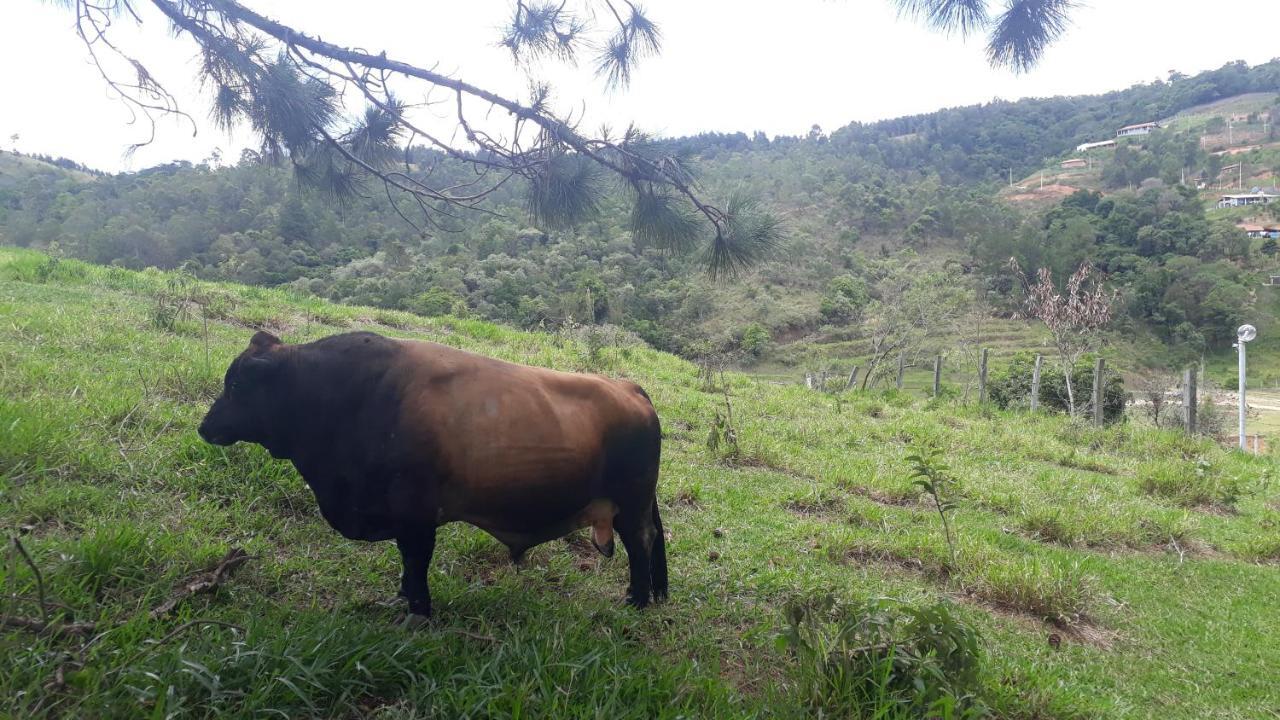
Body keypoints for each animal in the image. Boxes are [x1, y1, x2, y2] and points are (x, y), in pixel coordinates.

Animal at [197, 330, 670, 617]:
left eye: (237, 385)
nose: (204, 427)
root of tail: (629, 388)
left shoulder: (415, 512)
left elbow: (415, 559)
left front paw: (418, 610)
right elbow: (407, 565)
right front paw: (402, 598)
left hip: (630, 503)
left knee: (641, 543)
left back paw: (636, 600)